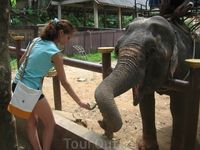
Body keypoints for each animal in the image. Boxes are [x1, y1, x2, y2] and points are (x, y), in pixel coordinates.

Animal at [94, 15, 200, 149]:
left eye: (152, 50)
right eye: (117, 49)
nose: (101, 121)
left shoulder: (184, 71)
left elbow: (178, 109)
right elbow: (146, 104)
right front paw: (147, 147)